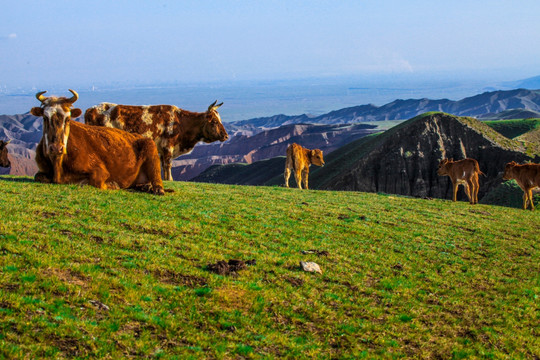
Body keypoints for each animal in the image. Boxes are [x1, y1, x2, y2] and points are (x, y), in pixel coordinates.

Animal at [29, 91, 163, 195]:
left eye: (68, 119)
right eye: (45, 118)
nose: (57, 148)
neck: (58, 165)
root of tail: (137, 136)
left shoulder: (99, 170)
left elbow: (94, 182)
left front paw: (112, 185)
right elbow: (38, 177)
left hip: (151, 150)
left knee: (158, 182)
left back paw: (155, 189)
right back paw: (144, 187)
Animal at [85, 100, 229, 180]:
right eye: (214, 121)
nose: (226, 136)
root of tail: (91, 109)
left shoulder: (161, 150)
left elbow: (163, 166)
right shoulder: (168, 146)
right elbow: (168, 165)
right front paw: (169, 179)